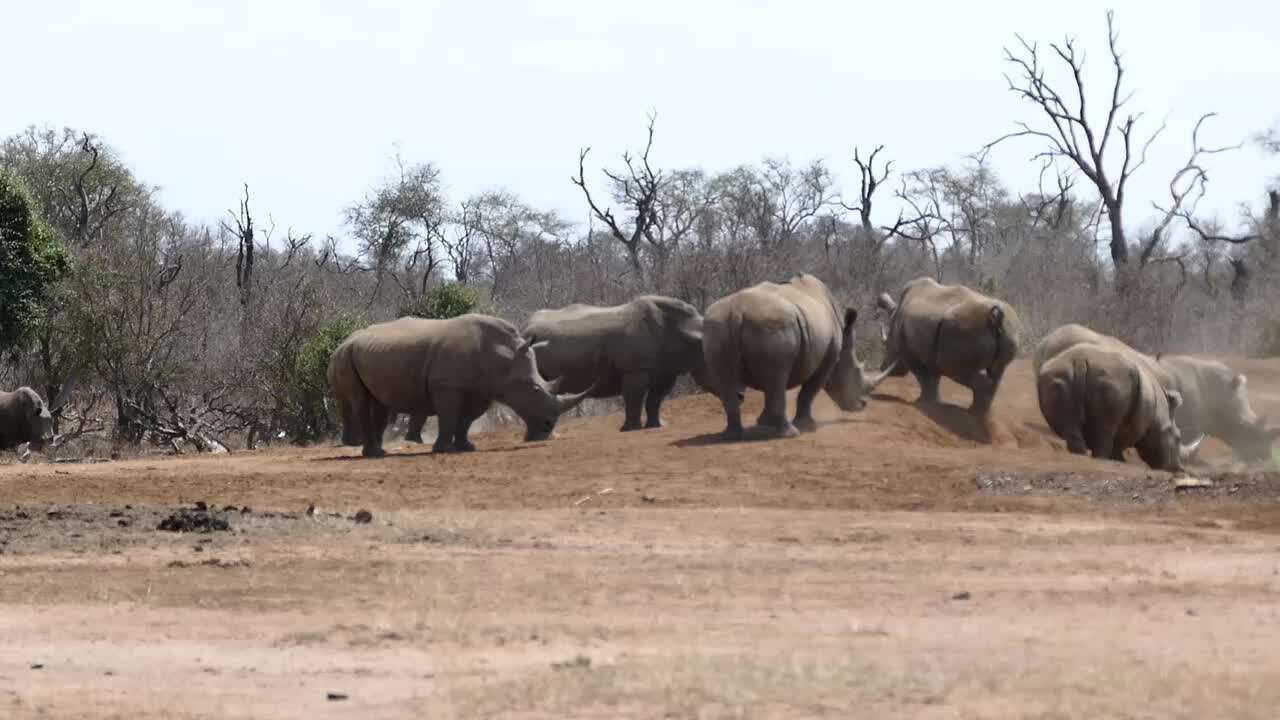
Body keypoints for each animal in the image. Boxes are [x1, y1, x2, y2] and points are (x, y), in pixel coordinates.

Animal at [325, 312, 593, 453]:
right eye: (535, 389)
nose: (548, 429)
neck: (503, 356)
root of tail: (346, 339)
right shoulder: (446, 385)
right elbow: (448, 416)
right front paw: (442, 449)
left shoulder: (482, 388)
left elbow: (467, 419)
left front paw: (467, 447)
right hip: (345, 356)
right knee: (359, 401)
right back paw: (373, 454)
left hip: (366, 354)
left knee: (378, 401)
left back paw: (378, 452)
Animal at [696, 269, 896, 438]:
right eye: (856, 371)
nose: (862, 405)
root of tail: (737, 311)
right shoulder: (829, 357)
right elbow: (809, 391)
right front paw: (808, 426)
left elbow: (773, 391)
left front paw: (763, 423)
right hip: (773, 325)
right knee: (777, 375)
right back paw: (790, 433)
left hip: (717, 326)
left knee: (727, 378)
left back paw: (732, 435)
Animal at [870, 274, 1018, 412]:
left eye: (886, 344)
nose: (882, 367)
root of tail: (996, 318)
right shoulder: (931, 351)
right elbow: (933, 379)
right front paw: (933, 402)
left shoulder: (907, 352)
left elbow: (923, 376)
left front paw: (922, 402)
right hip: (1008, 330)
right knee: (997, 372)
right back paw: (978, 414)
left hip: (961, 329)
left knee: (957, 369)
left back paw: (973, 414)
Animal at [1029, 340, 1198, 471]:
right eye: (1177, 438)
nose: (1178, 468)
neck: (1162, 415)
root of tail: (1080, 361)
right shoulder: (1138, 422)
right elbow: (1122, 437)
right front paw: (1119, 460)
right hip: (1112, 380)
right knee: (1105, 428)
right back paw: (1101, 458)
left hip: (1057, 375)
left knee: (1069, 424)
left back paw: (1080, 455)